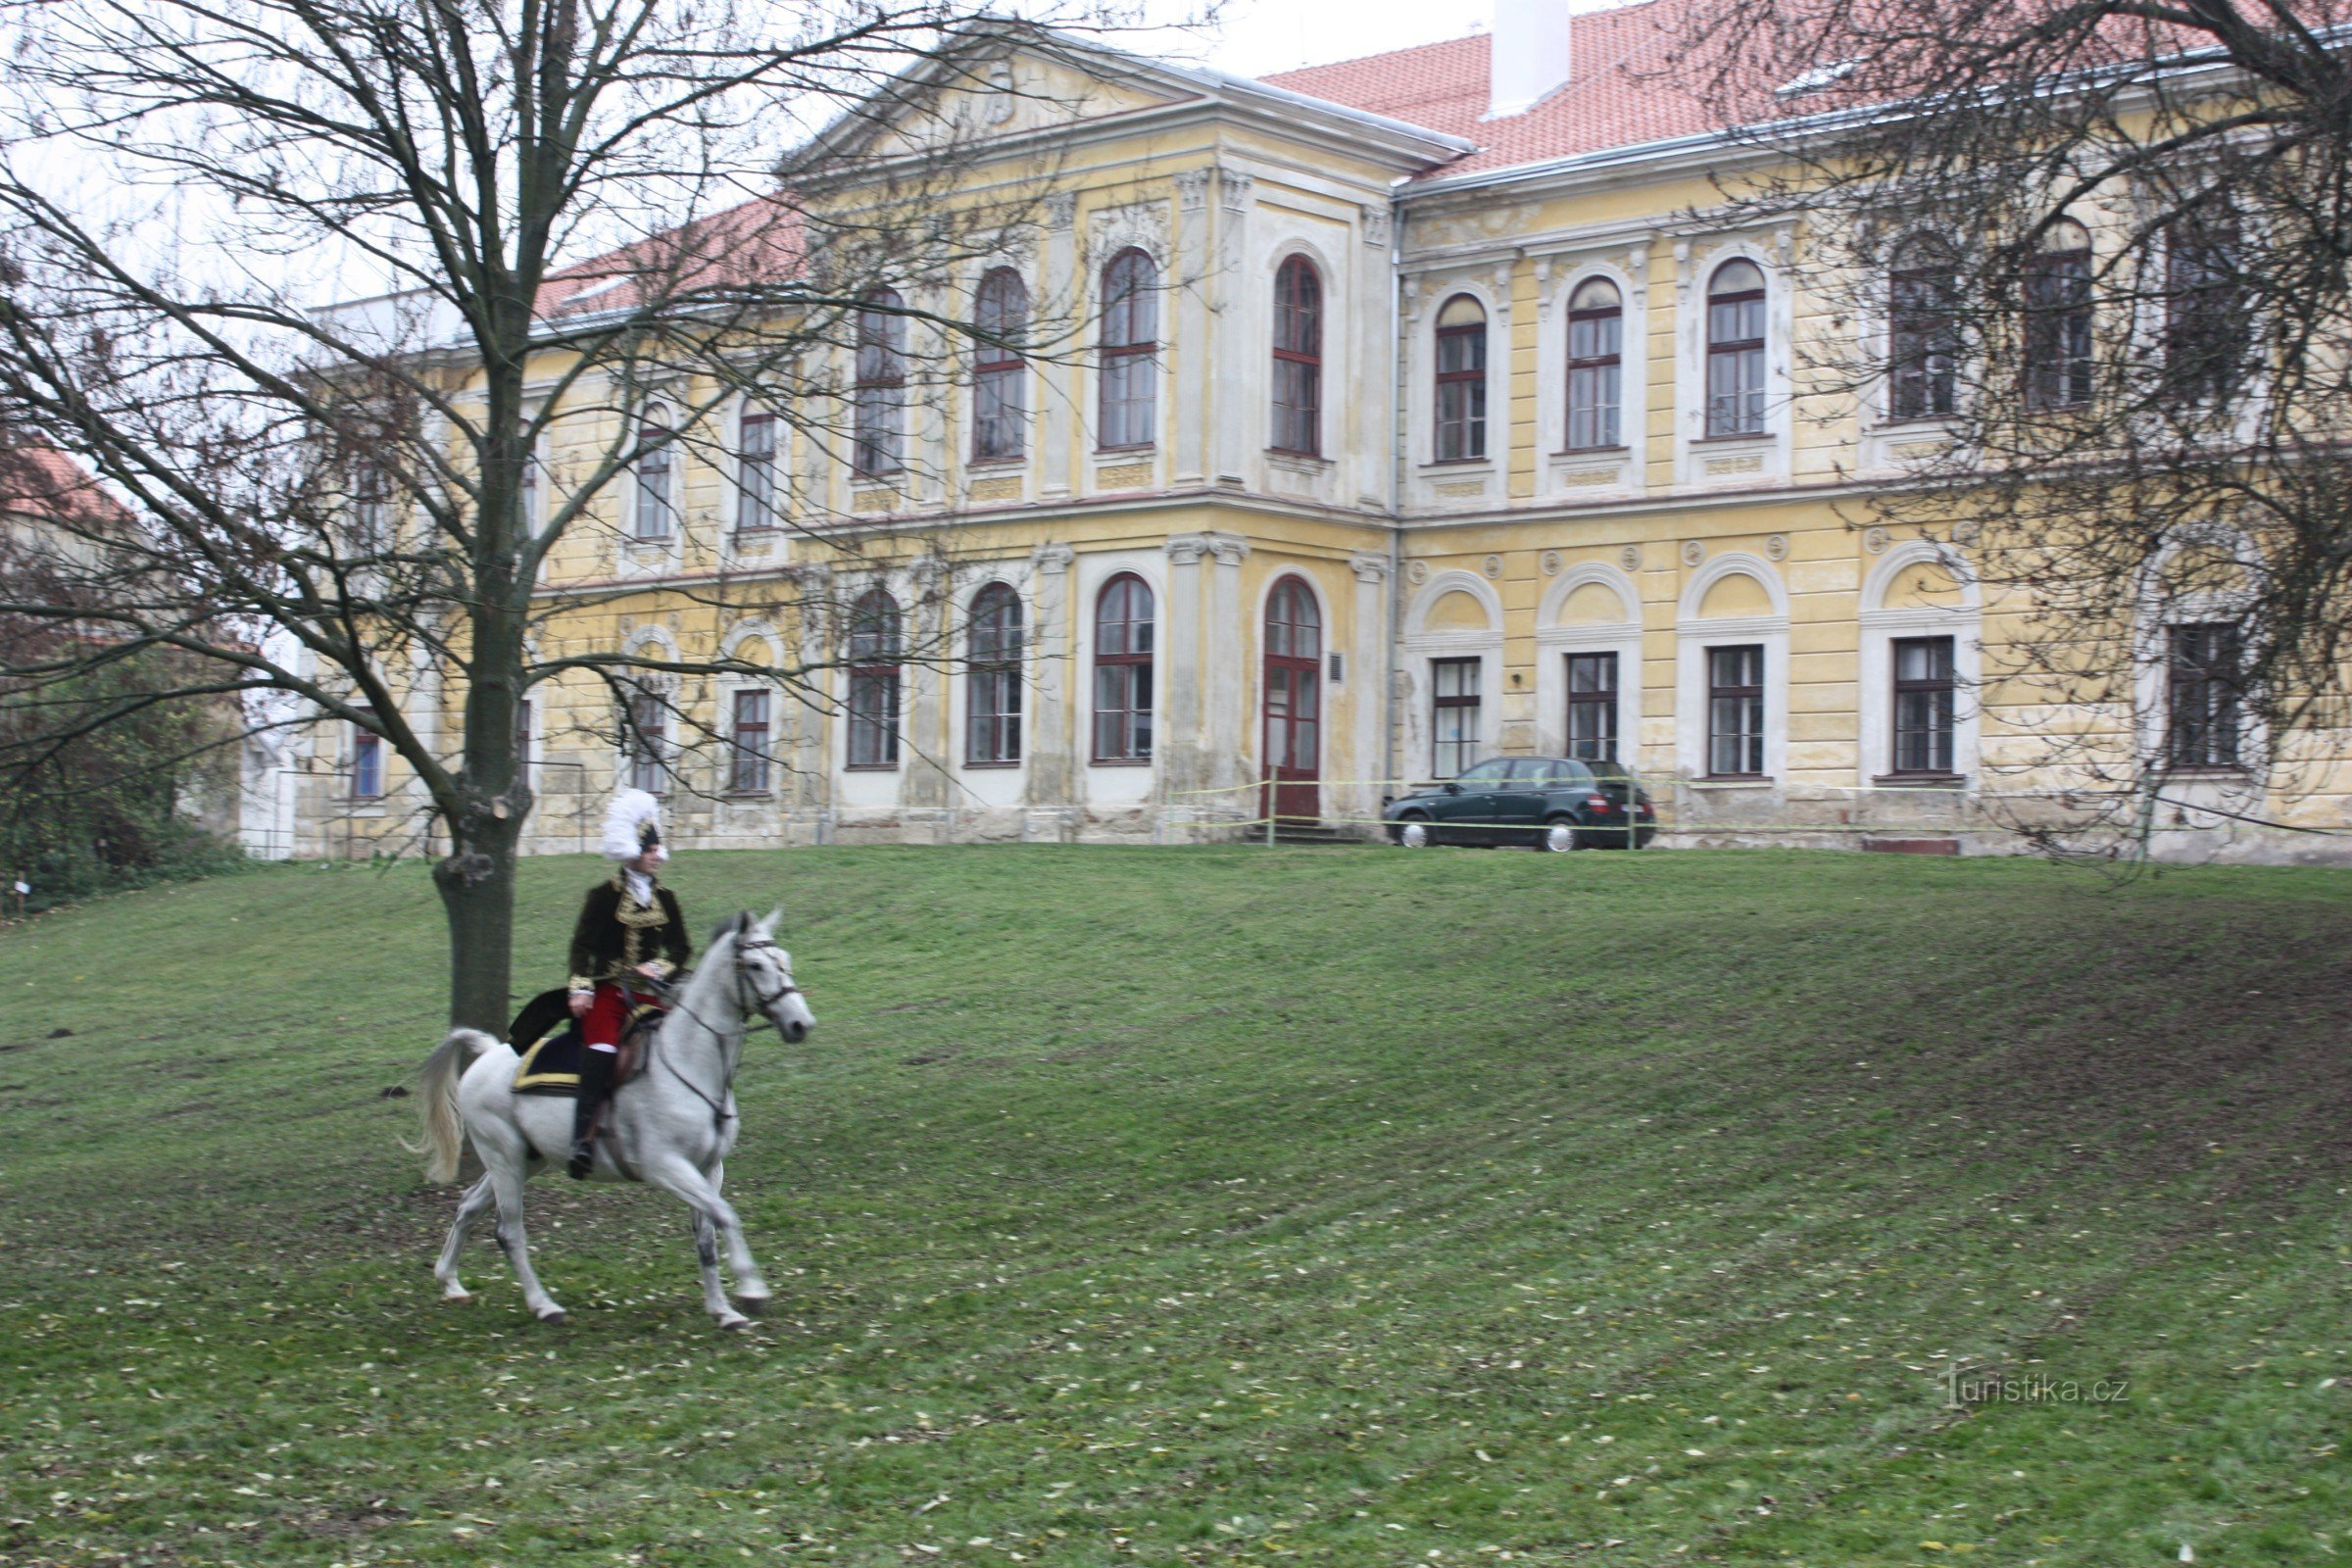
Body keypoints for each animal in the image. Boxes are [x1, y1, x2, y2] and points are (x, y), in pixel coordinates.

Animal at [400, 911, 813, 1335]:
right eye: (756, 965)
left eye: (784, 960)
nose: (801, 1023)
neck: (687, 1064)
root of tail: (486, 1053)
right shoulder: (666, 1167)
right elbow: (726, 1215)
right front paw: (751, 1289)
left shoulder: (709, 1168)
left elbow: (707, 1236)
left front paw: (723, 1310)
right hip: (505, 1159)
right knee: (509, 1231)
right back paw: (544, 1305)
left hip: (527, 1160)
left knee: (469, 1205)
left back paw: (450, 1281)